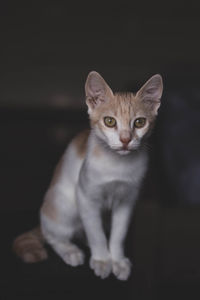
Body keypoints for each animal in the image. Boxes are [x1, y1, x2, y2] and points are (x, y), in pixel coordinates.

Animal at [12, 71, 162, 280]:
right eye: (110, 121)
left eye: (140, 122)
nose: (125, 140)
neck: (117, 164)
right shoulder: (86, 197)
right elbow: (95, 232)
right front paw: (102, 259)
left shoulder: (127, 200)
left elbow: (119, 233)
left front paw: (117, 260)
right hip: (65, 204)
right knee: (53, 235)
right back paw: (70, 250)